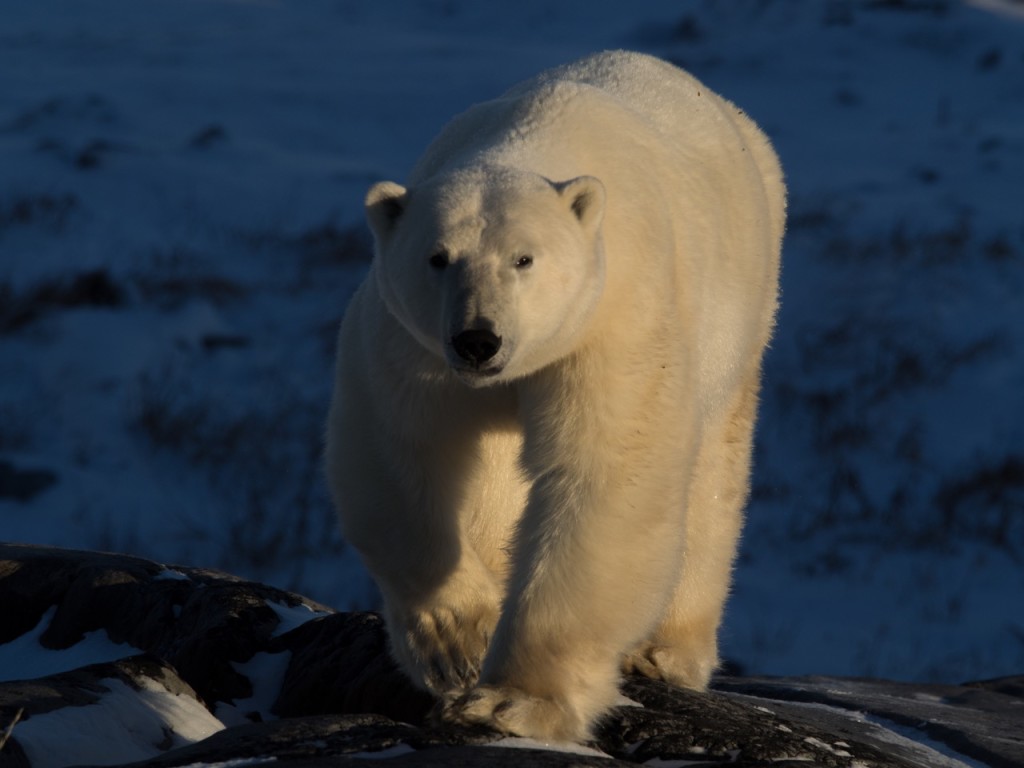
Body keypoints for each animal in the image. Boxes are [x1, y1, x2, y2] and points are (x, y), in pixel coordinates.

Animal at [326, 50, 785, 742]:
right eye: (438, 257)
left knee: (711, 471)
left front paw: (513, 701)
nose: (478, 340)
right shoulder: (411, 341)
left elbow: (604, 473)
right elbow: (402, 451)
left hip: (743, 309)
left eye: (524, 259)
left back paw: (666, 650)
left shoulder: (610, 319)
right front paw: (460, 642)